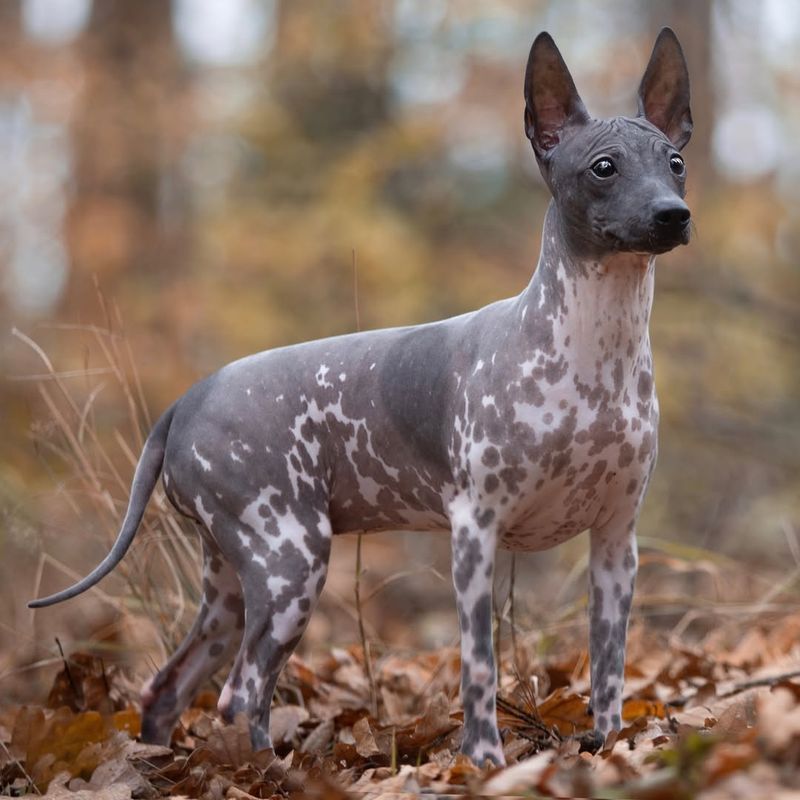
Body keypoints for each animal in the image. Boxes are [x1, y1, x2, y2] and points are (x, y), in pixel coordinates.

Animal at [31, 28, 692, 764]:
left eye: (675, 163)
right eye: (604, 168)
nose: (674, 215)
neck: (592, 352)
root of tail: (185, 401)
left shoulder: (616, 544)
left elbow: (609, 669)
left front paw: (610, 748)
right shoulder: (475, 535)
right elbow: (481, 665)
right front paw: (484, 762)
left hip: (233, 584)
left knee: (170, 687)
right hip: (290, 562)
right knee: (240, 693)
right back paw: (272, 772)